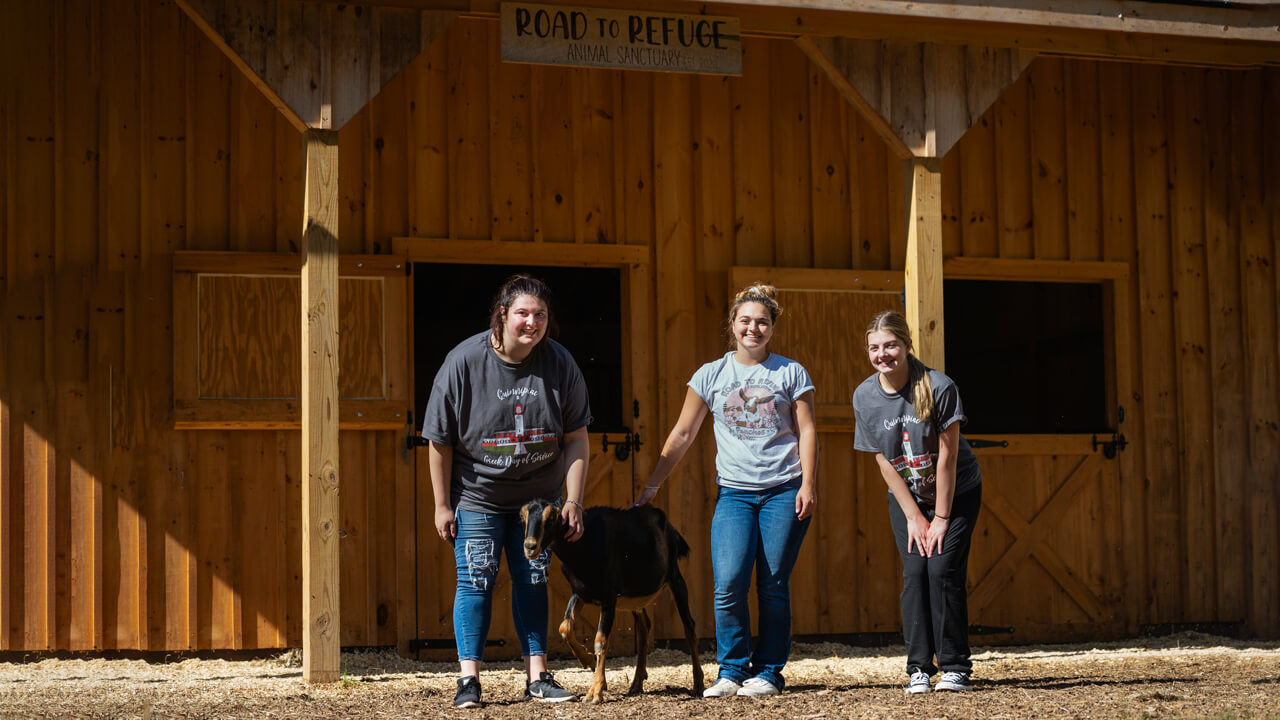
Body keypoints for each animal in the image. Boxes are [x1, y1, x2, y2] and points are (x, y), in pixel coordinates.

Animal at [517, 497, 706, 696]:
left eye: (551, 517)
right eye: (522, 517)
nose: (530, 547)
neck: (584, 544)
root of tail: (671, 528)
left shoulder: (609, 597)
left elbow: (600, 641)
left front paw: (595, 691)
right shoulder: (580, 592)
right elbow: (565, 627)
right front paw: (588, 661)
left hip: (675, 578)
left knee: (689, 626)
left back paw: (698, 684)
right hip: (635, 597)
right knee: (644, 626)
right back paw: (636, 684)